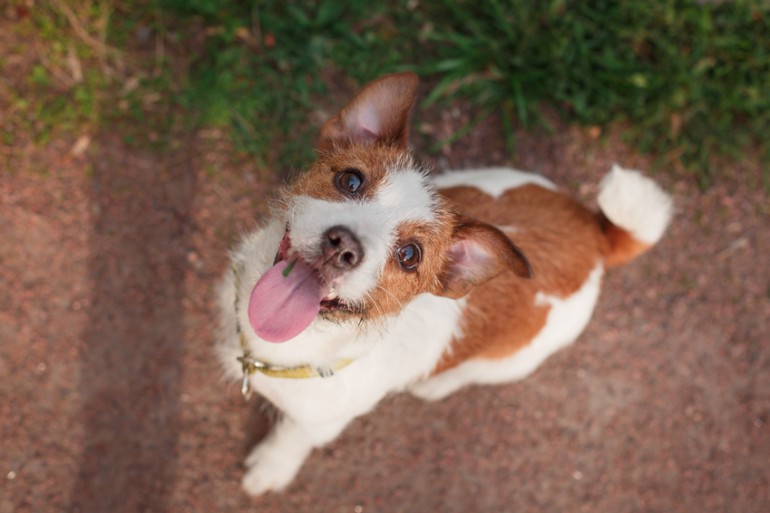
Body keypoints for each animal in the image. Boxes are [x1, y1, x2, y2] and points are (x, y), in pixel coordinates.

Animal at [216, 70, 672, 494]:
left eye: (410, 255)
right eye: (350, 180)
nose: (343, 245)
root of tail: (597, 234)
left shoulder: (318, 424)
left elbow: (291, 438)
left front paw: (271, 467)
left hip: (516, 359)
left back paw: (436, 385)